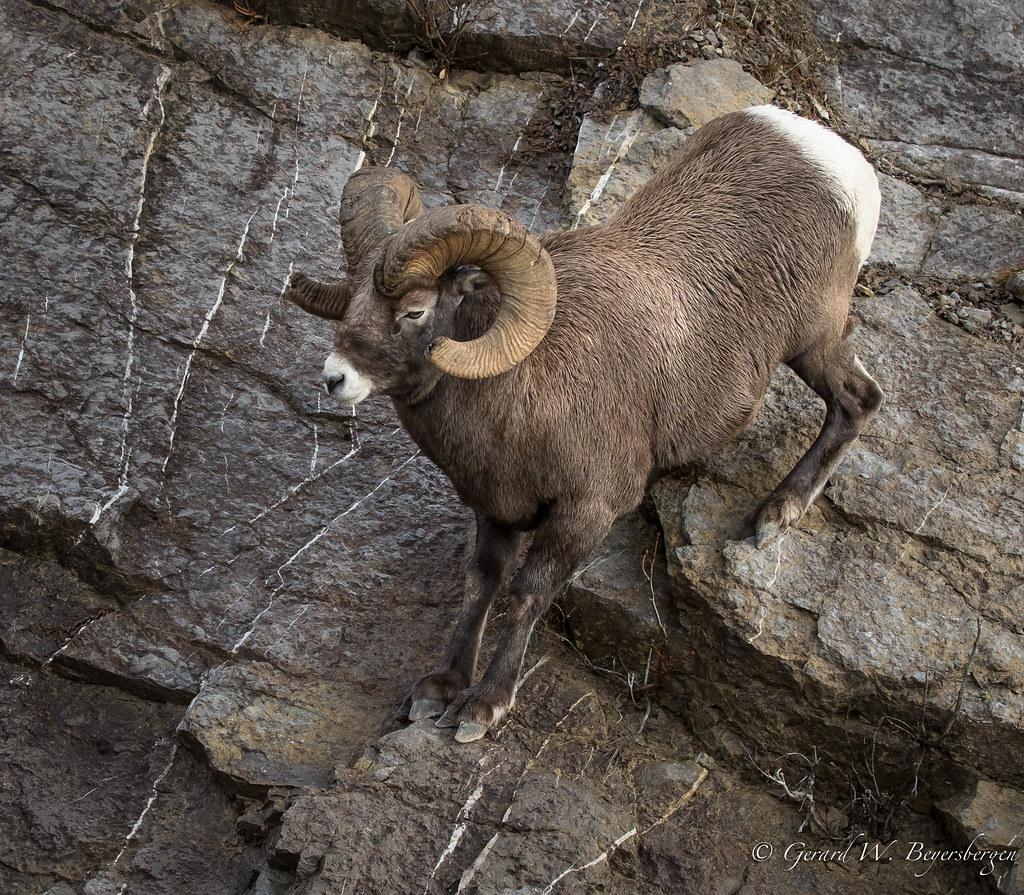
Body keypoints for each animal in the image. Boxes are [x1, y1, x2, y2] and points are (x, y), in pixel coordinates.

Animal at [283, 104, 884, 743]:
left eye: (415, 311)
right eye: (351, 304)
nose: (335, 378)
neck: (523, 391)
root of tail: (832, 155)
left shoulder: (584, 513)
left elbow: (526, 593)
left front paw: (481, 709)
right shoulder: (497, 509)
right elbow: (481, 584)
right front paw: (440, 690)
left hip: (813, 340)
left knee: (858, 401)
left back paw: (773, 518)